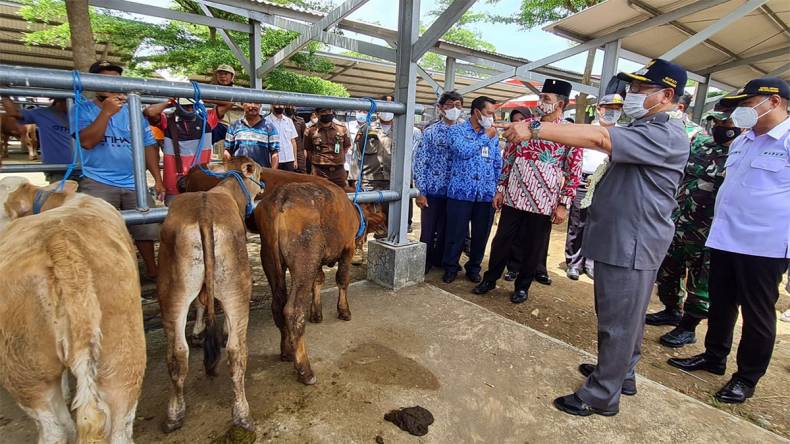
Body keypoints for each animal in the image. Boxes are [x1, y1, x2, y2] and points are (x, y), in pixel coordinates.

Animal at [157, 159, 263, 433]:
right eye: (259, 171)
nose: (264, 184)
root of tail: (204, 214)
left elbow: (201, 302)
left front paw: (198, 332)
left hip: (172, 291)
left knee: (177, 353)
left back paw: (174, 415)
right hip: (236, 286)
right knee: (235, 351)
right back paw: (242, 415)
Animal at [256, 180, 386, 385]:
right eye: (380, 211)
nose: (386, 227)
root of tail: (281, 197)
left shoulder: (318, 261)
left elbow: (319, 281)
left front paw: (316, 313)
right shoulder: (347, 248)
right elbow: (342, 279)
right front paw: (344, 311)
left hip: (270, 260)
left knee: (277, 305)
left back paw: (286, 351)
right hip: (304, 260)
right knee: (292, 310)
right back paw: (305, 370)